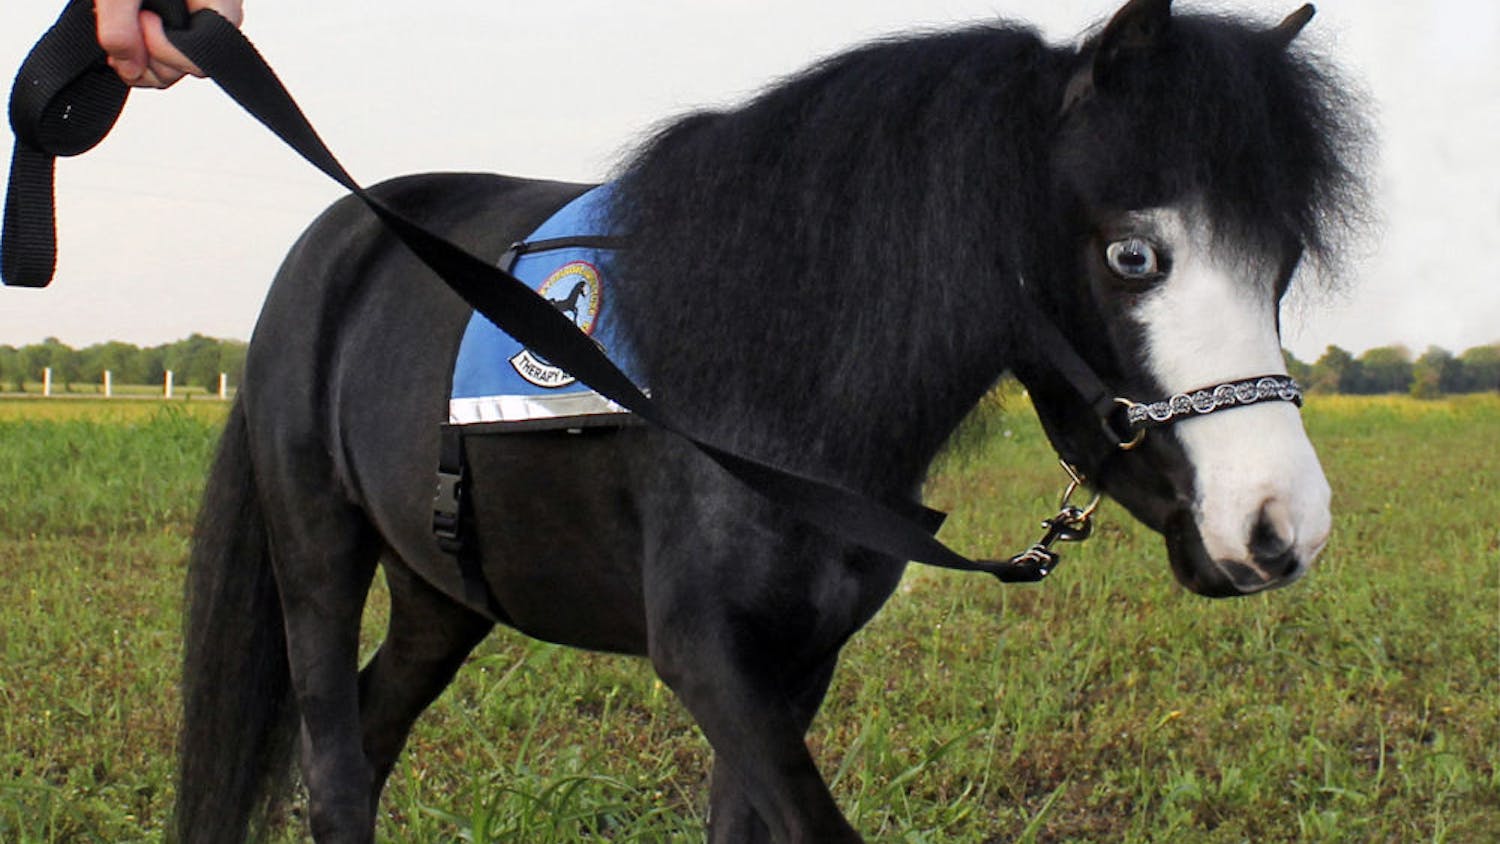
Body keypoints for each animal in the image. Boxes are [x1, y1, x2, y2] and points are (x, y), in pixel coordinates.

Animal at [172, 0, 1366, 840]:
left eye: (1282, 261)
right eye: (1133, 254)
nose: (1281, 527)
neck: (787, 393)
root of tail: (336, 241)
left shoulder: (799, 664)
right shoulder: (709, 657)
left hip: (441, 593)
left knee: (366, 744)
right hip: (317, 558)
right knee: (336, 771)